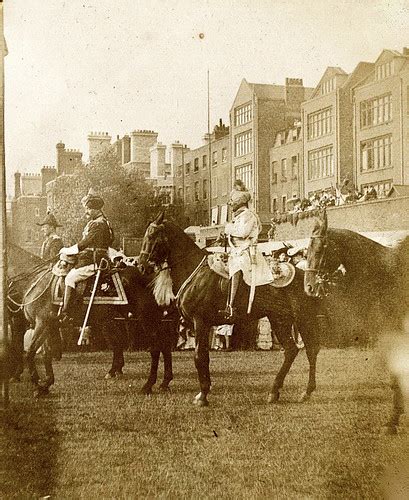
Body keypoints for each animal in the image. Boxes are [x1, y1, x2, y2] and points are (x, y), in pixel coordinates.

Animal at [139, 214, 320, 406]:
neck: (194, 271)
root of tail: (306, 277)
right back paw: (285, 392)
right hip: (282, 319)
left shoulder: (200, 322)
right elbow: (201, 355)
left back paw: (292, 390)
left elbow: (198, 356)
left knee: (305, 350)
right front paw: (202, 390)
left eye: (152, 236)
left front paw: (203, 395)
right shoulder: (198, 324)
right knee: (297, 350)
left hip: (298, 318)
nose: (141, 265)